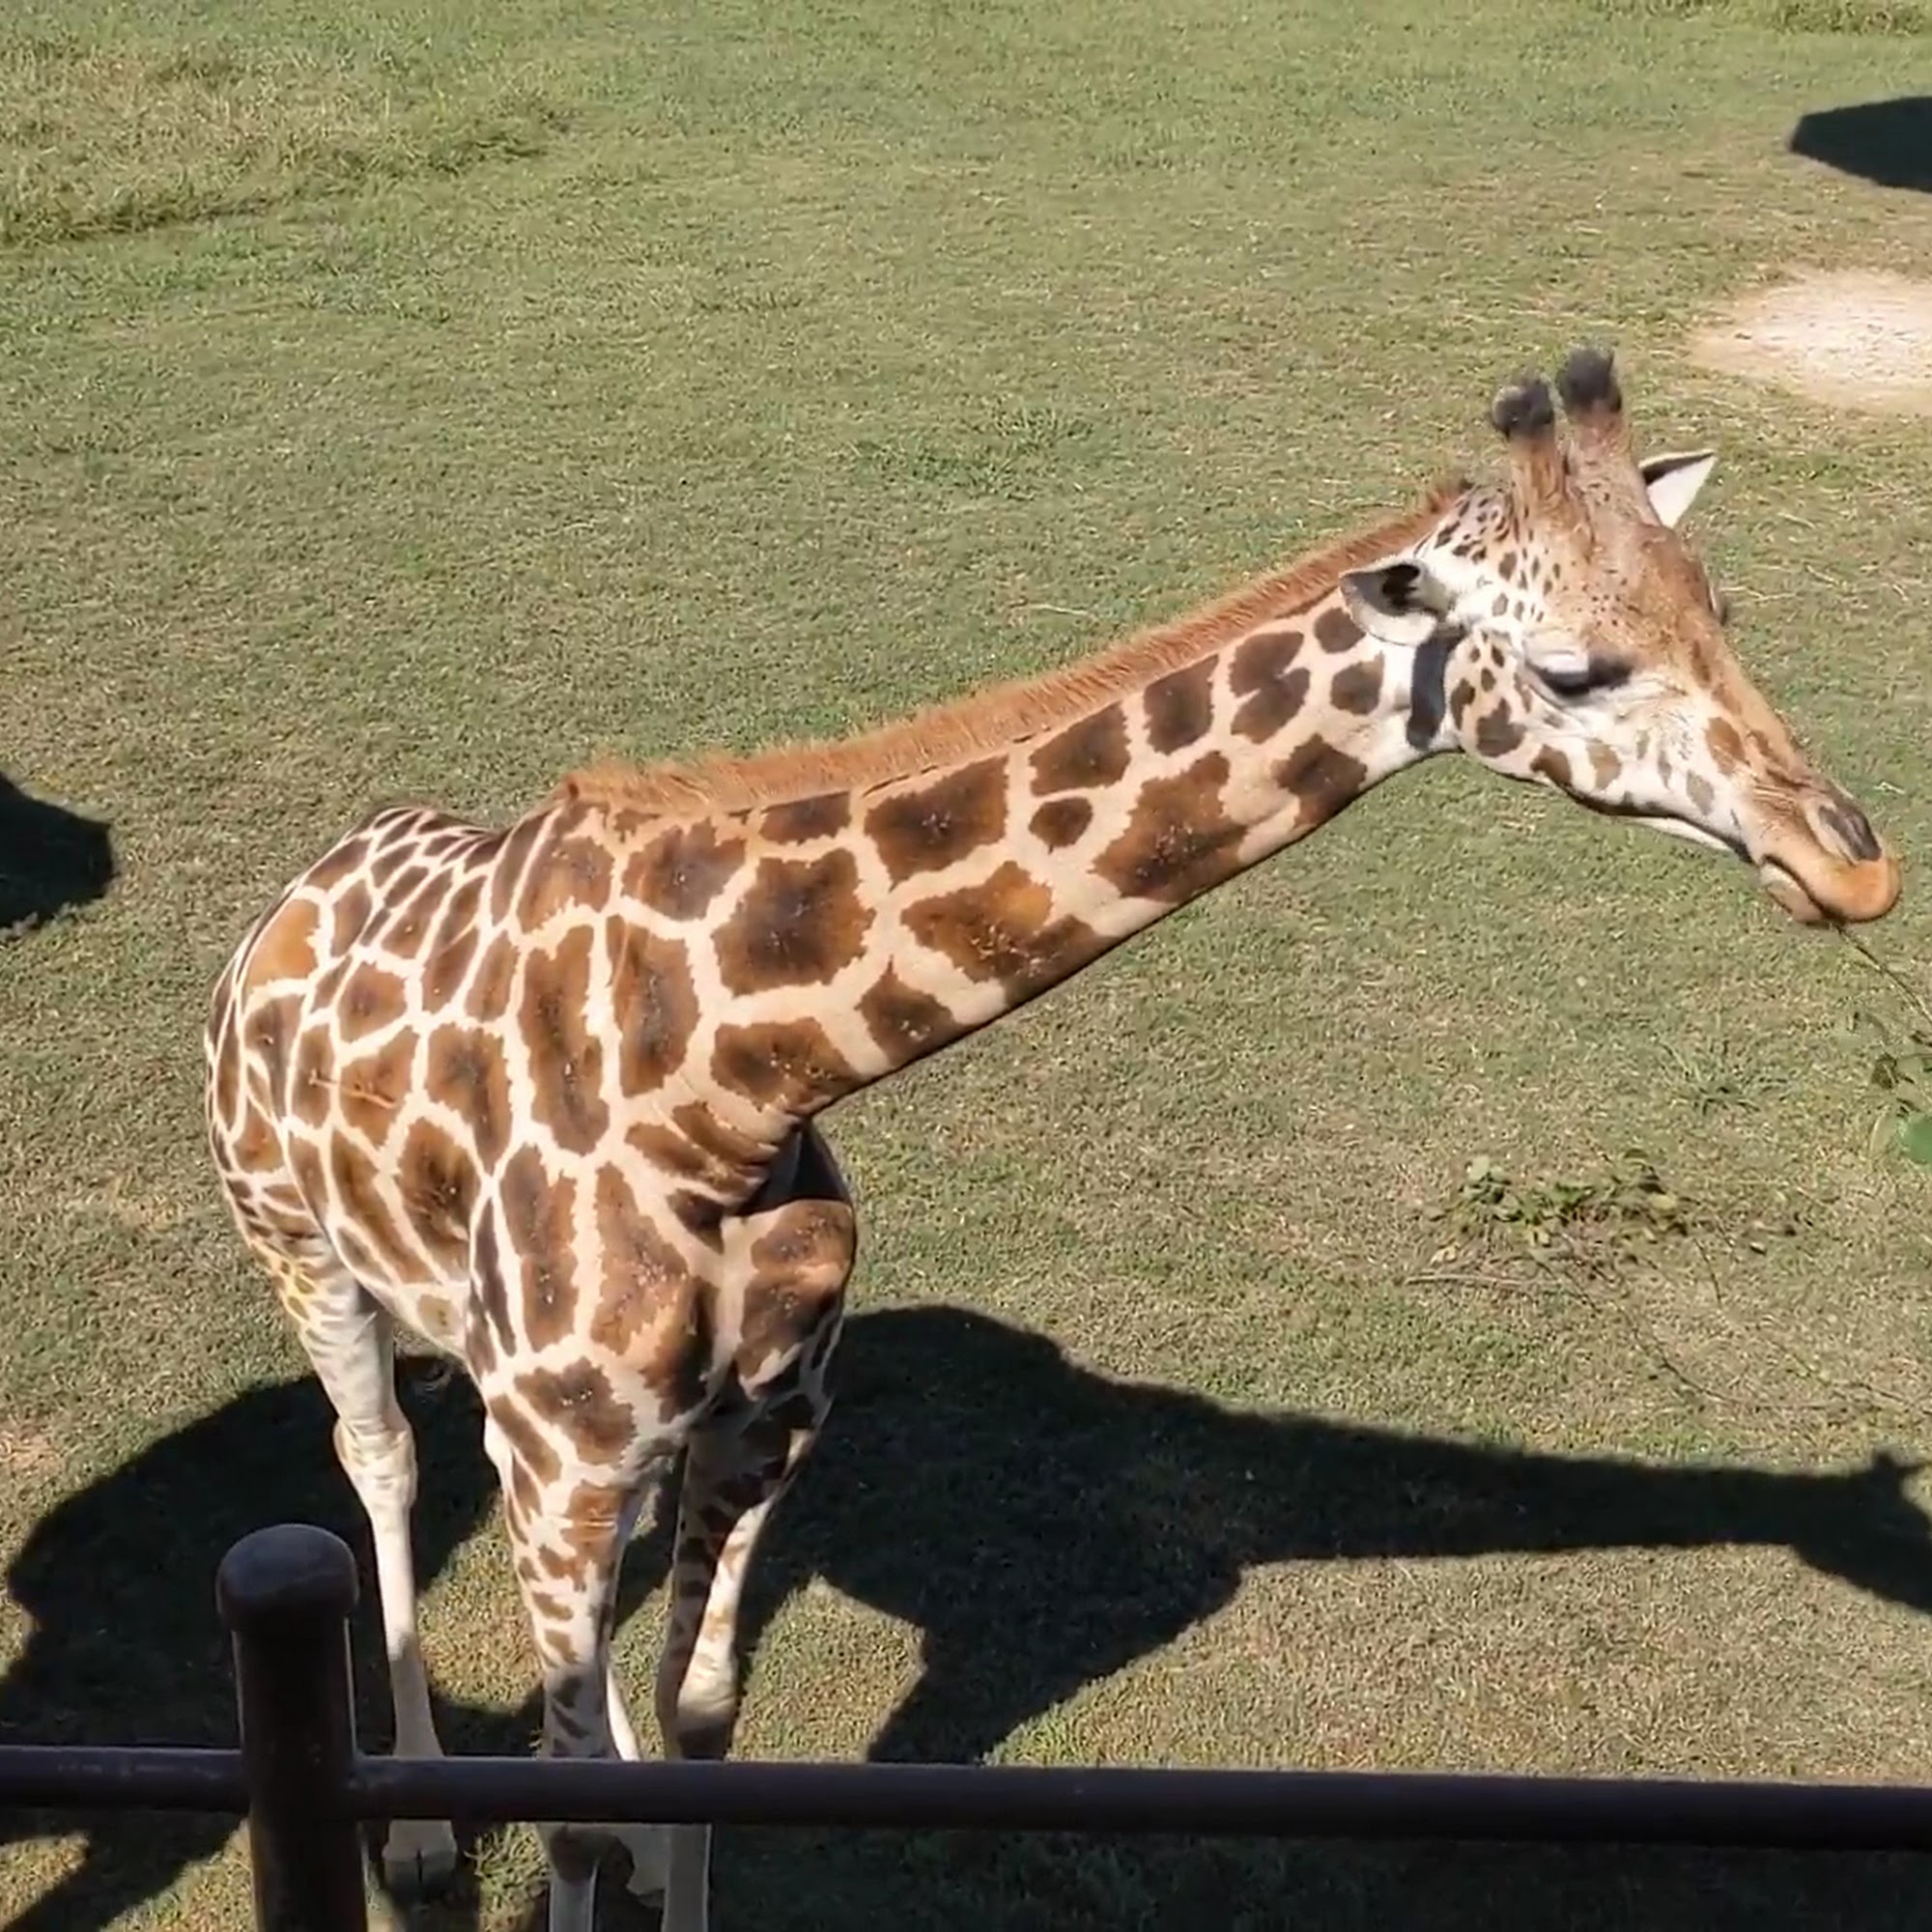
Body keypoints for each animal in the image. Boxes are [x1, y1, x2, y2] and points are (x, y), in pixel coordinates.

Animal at [203, 346, 1900, 1932]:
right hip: (310, 1263)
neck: (732, 1075)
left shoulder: (760, 1430)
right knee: (381, 1466)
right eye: (1572, 669)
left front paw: (647, 1819)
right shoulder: (565, 1447)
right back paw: (421, 1838)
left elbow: (702, 1731)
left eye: (1722, 607)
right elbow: (554, 1792)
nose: (1853, 864)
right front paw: (523, 1834)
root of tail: (286, 906)